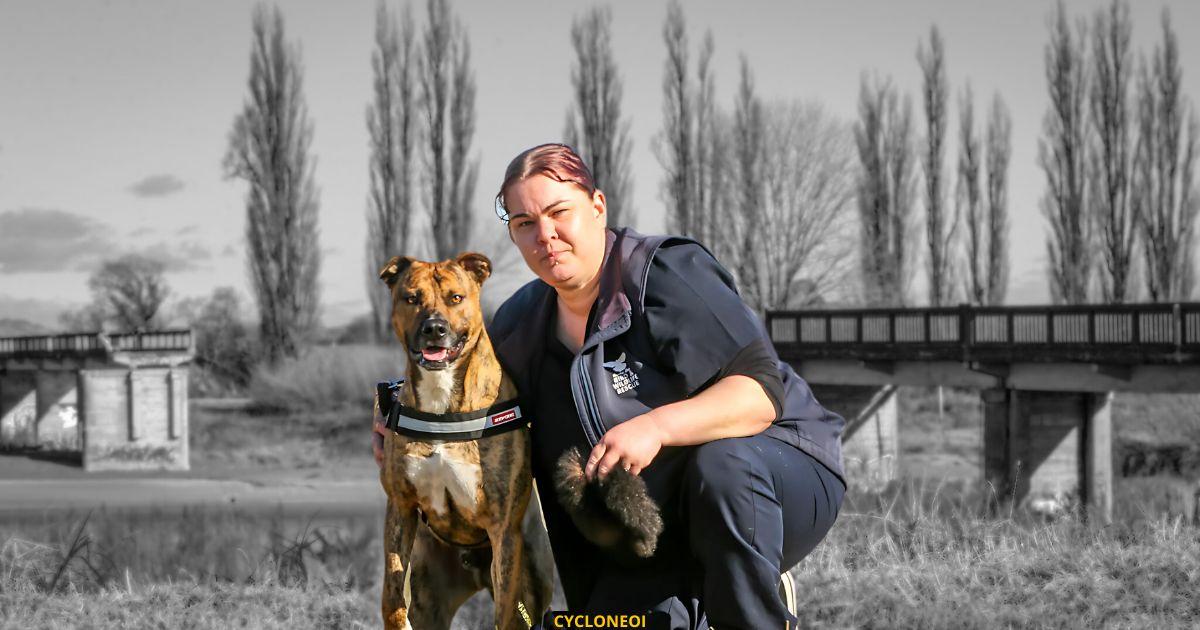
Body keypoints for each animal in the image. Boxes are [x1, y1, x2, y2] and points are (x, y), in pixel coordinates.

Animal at [374, 253, 552, 628]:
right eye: (411, 298)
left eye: (455, 297)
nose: (434, 328)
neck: (442, 397)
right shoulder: (400, 507)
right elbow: (391, 592)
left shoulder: (503, 530)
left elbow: (505, 615)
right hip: (431, 592)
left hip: (531, 579)